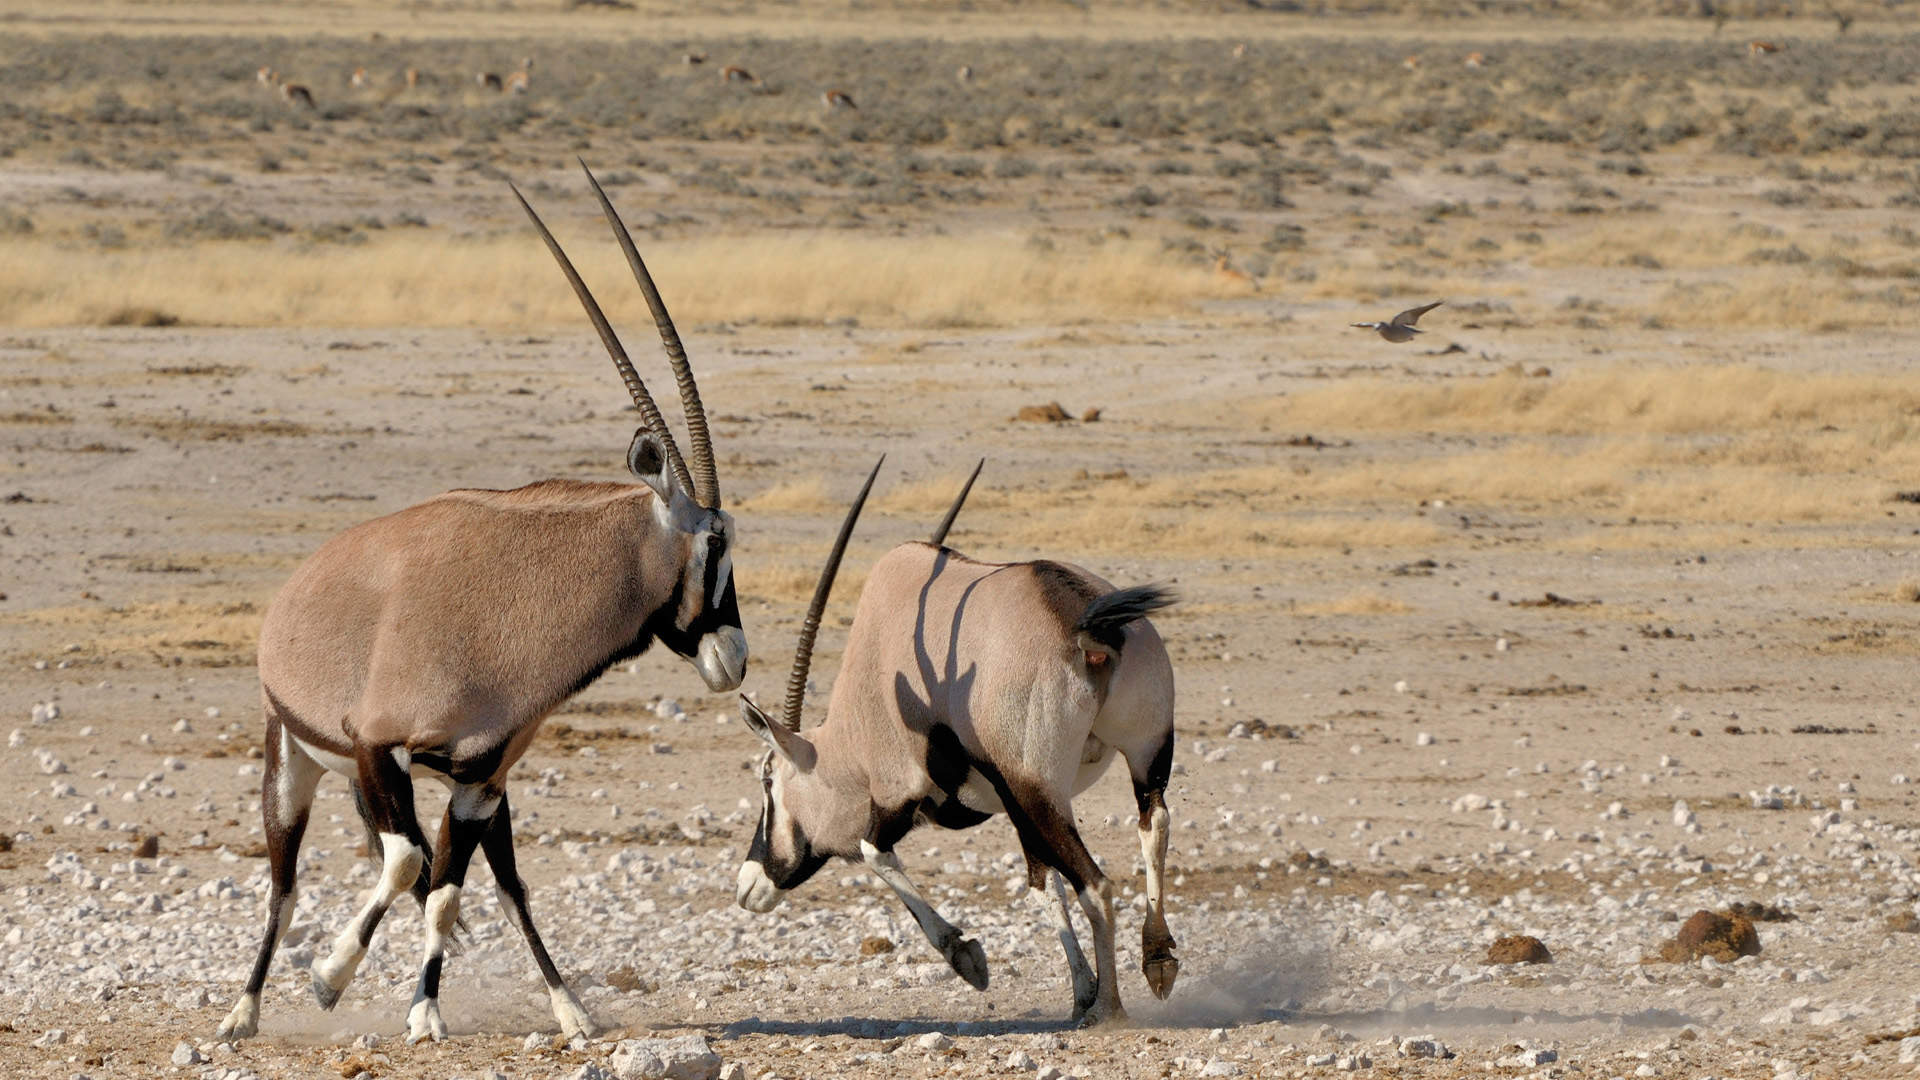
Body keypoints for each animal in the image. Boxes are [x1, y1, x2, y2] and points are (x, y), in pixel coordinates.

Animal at [214, 162, 743, 1045]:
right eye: (716, 544)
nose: (734, 658)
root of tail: (295, 589)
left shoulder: (479, 779)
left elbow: (447, 890)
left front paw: (424, 1010)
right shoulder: (378, 748)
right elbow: (404, 866)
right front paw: (328, 979)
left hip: (477, 796)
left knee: (495, 883)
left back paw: (570, 1006)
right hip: (292, 760)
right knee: (285, 887)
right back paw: (243, 1012)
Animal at [734, 461, 1181, 1026]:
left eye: (768, 779)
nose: (748, 886)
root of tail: (1085, 626)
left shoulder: (905, 793)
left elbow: (874, 853)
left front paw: (968, 957)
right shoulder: (1014, 806)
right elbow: (1044, 885)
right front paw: (1078, 991)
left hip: (1038, 786)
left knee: (1097, 885)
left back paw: (1107, 1009)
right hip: (1140, 757)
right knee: (1153, 824)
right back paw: (1157, 961)